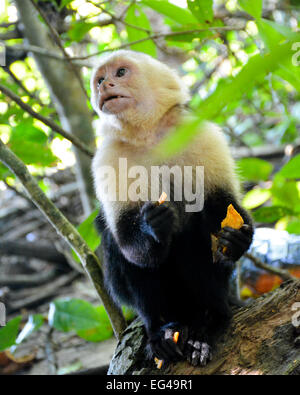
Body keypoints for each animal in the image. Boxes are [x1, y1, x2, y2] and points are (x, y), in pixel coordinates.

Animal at [91, 50, 253, 368]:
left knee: (197, 232)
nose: (104, 87)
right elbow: (128, 242)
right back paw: (162, 331)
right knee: (117, 246)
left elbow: (222, 205)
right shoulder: (109, 157)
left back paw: (208, 322)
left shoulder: (201, 134)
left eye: (120, 73)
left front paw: (238, 240)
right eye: (100, 79)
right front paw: (153, 225)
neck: (149, 134)